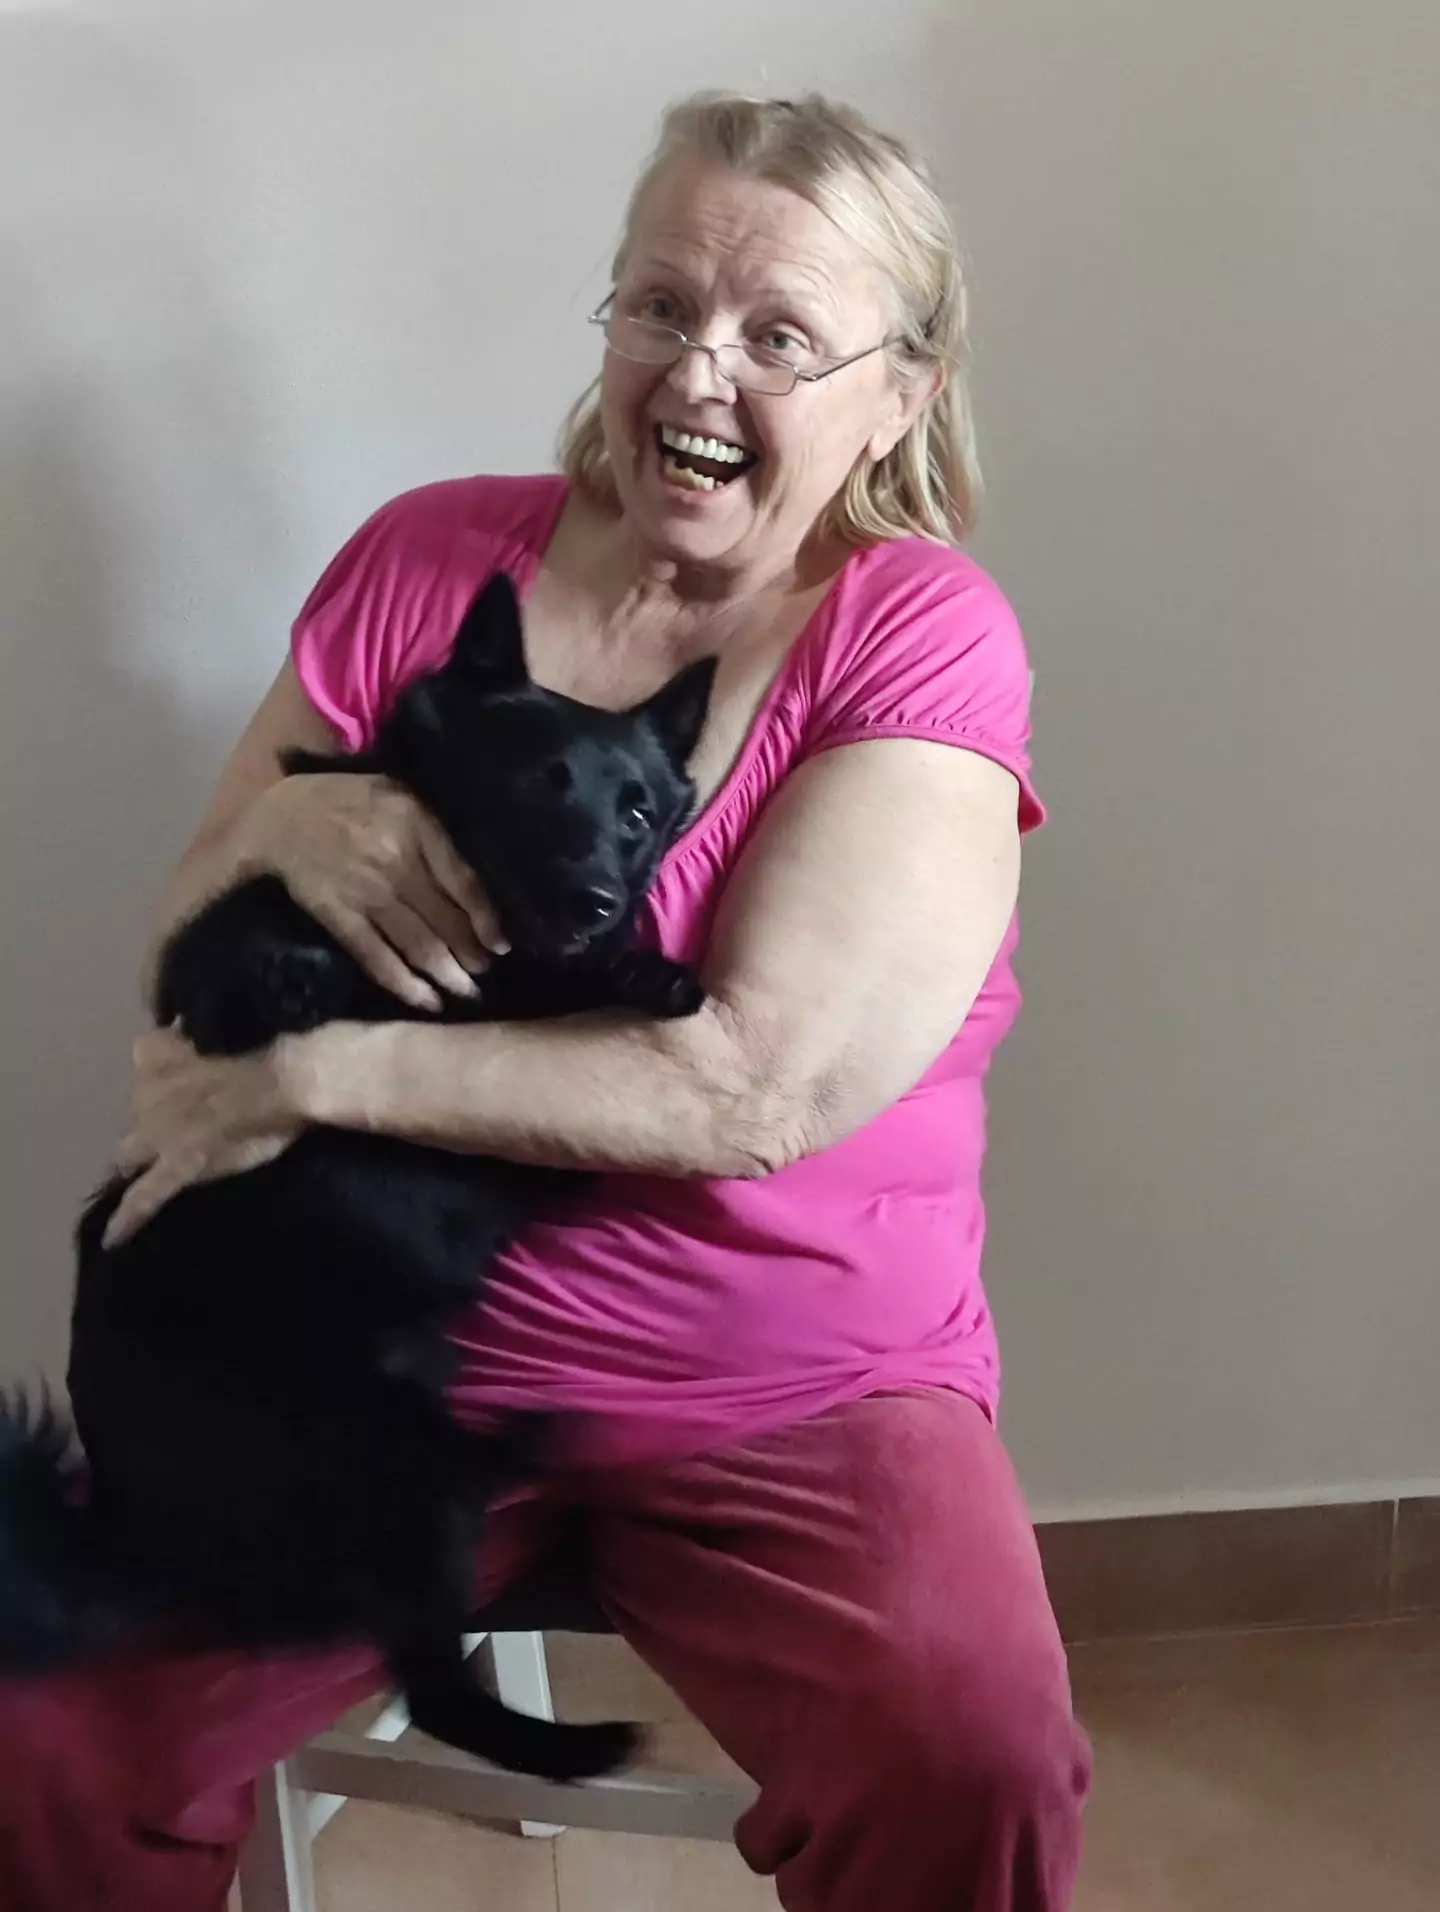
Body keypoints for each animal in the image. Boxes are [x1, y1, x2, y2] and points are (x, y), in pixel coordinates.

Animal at [0, 571, 715, 1782]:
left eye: (637, 814)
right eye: (538, 783)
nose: (596, 900)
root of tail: (145, 1539)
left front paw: (642, 966)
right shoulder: (216, 985)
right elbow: (249, 975)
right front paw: (298, 981)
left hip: (407, 1455)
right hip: (389, 1461)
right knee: (430, 1682)